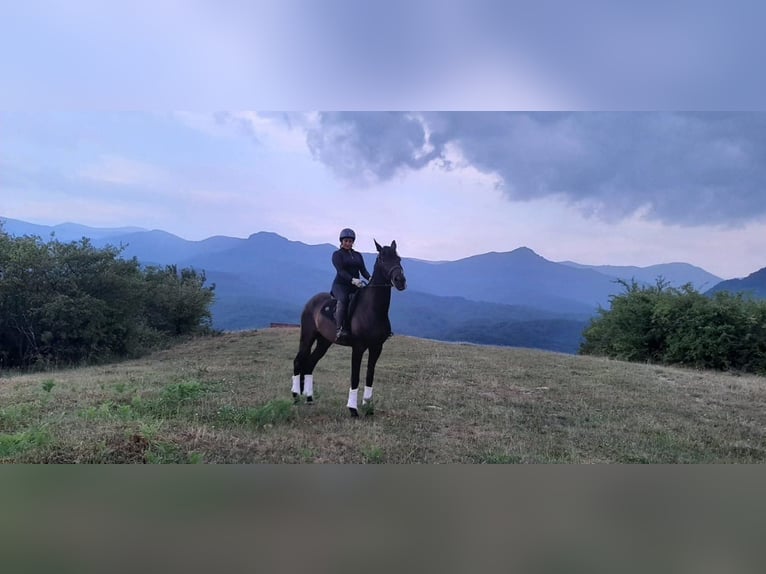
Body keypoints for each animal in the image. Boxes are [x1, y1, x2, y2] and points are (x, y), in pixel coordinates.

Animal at [291, 240, 407, 416]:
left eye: (398, 259)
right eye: (382, 259)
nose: (400, 280)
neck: (372, 310)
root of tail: (312, 301)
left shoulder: (376, 348)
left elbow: (369, 376)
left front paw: (368, 406)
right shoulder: (358, 348)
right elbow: (355, 377)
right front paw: (353, 409)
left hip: (324, 342)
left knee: (310, 363)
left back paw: (309, 398)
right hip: (307, 336)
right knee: (299, 361)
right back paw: (296, 396)